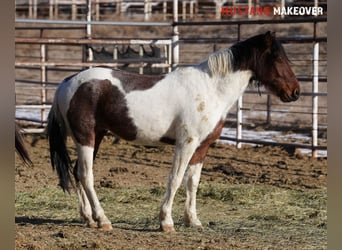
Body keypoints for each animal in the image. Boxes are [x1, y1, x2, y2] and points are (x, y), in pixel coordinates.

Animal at [47, 31, 300, 232]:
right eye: (277, 57)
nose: (295, 92)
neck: (211, 88)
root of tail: (67, 82)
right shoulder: (186, 143)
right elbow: (176, 179)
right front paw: (166, 222)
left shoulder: (202, 146)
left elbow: (192, 182)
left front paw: (193, 221)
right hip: (86, 138)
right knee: (86, 175)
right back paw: (103, 220)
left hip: (96, 136)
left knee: (77, 173)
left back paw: (88, 218)